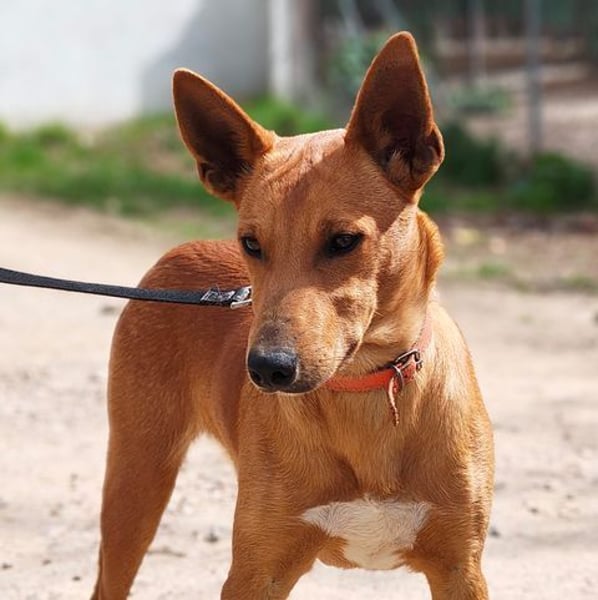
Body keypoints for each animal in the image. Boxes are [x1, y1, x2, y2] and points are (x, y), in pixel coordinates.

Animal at [91, 32, 494, 599]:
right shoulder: (257, 572)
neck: (364, 393)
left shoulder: (461, 570)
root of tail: (178, 251)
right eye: (251, 244)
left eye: (344, 241)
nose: (267, 369)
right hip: (135, 483)